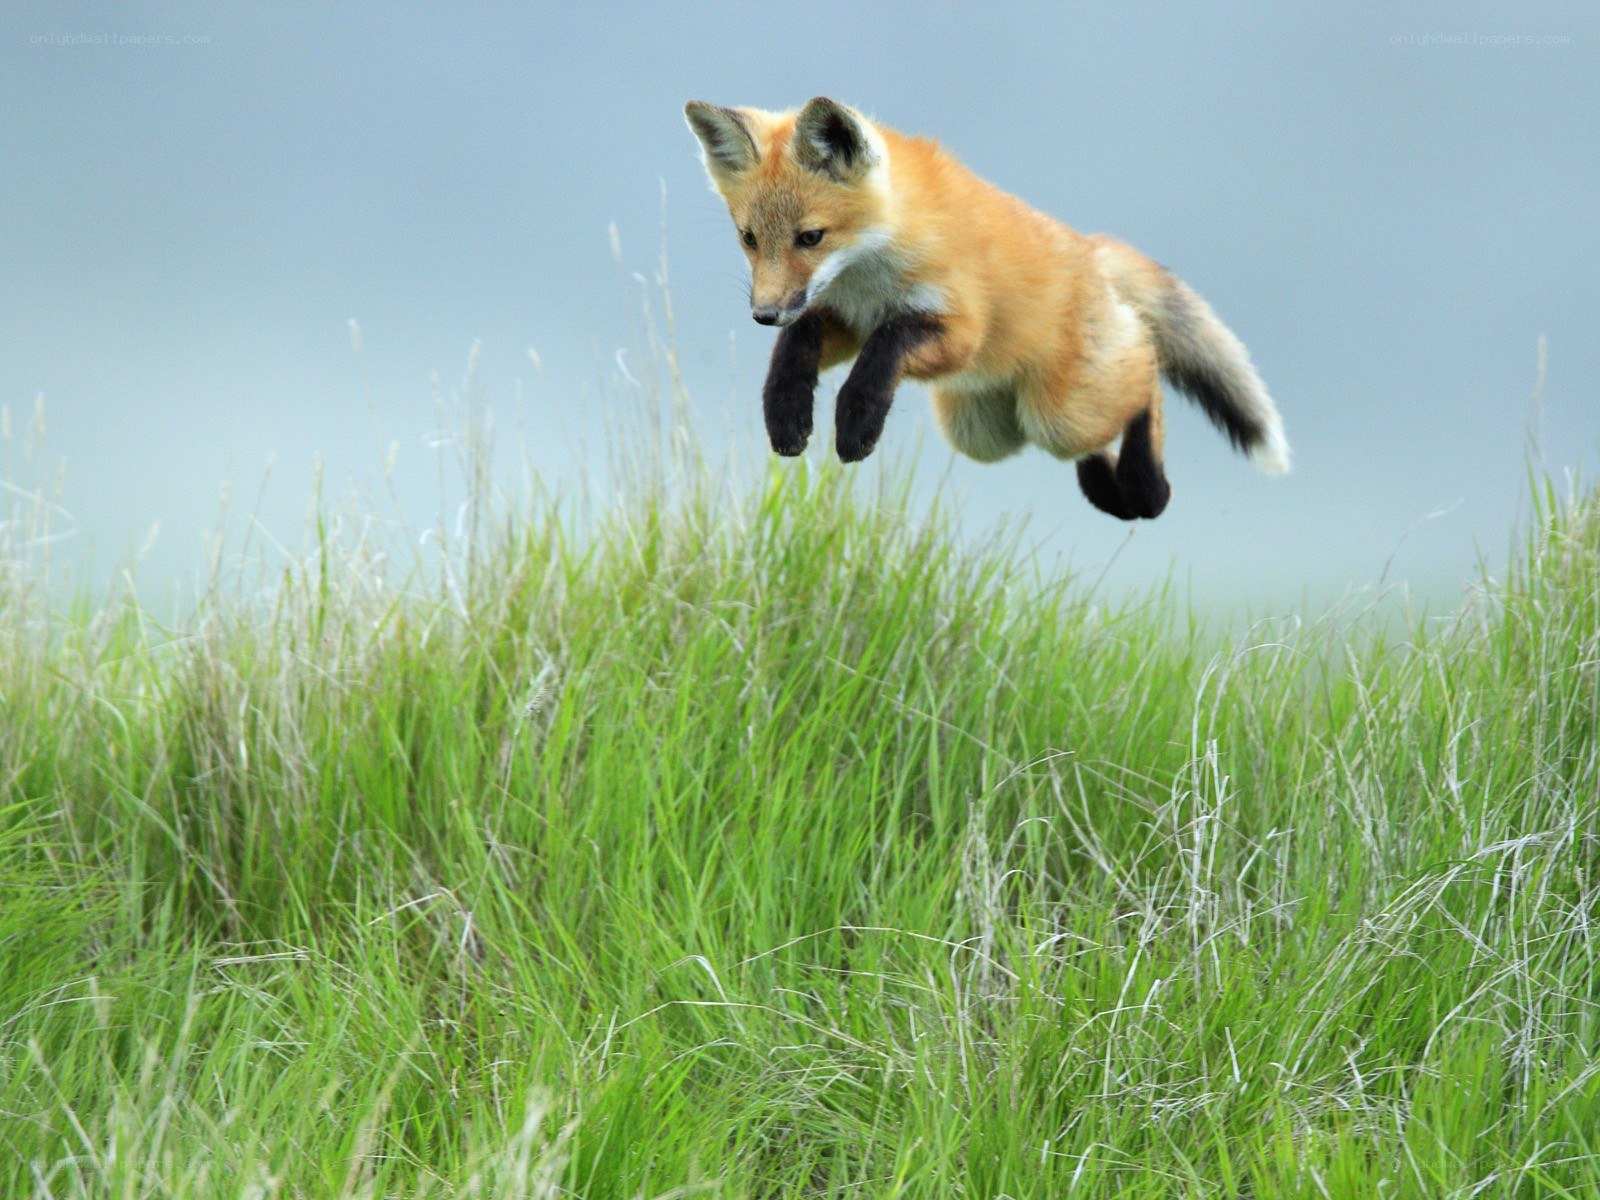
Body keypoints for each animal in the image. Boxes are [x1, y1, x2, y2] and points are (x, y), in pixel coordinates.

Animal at [683, 97, 1290, 519]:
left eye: (811, 237)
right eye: (748, 239)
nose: (763, 314)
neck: (870, 276)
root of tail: (1092, 249)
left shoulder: (957, 330)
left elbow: (886, 347)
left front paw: (857, 420)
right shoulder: (841, 317)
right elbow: (796, 348)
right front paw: (786, 412)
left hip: (1060, 413)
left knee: (1146, 375)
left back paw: (1149, 486)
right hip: (985, 433)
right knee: (1097, 433)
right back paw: (1113, 493)